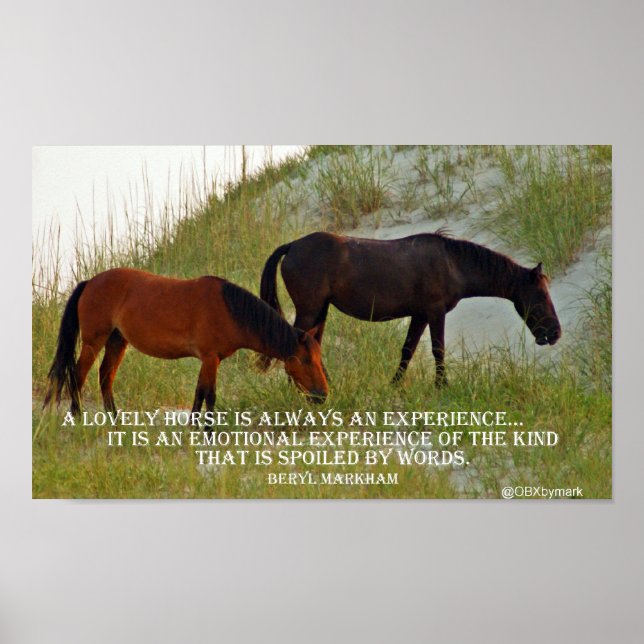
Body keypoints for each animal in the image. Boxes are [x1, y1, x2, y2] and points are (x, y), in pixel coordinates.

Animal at [44, 268, 328, 416]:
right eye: (305, 360)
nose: (322, 395)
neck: (229, 309)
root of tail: (90, 282)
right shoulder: (211, 358)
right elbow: (210, 395)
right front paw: (208, 432)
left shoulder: (208, 361)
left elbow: (199, 392)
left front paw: (193, 426)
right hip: (94, 341)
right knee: (78, 376)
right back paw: (78, 417)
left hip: (117, 341)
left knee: (105, 376)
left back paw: (114, 419)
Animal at [258, 231, 561, 386]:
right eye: (541, 296)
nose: (555, 333)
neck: (452, 263)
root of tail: (292, 246)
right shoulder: (435, 313)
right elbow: (437, 349)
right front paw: (442, 385)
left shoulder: (420, 315)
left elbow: (408, 350)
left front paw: (395, 385)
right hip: (310, 310)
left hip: (320, 311)